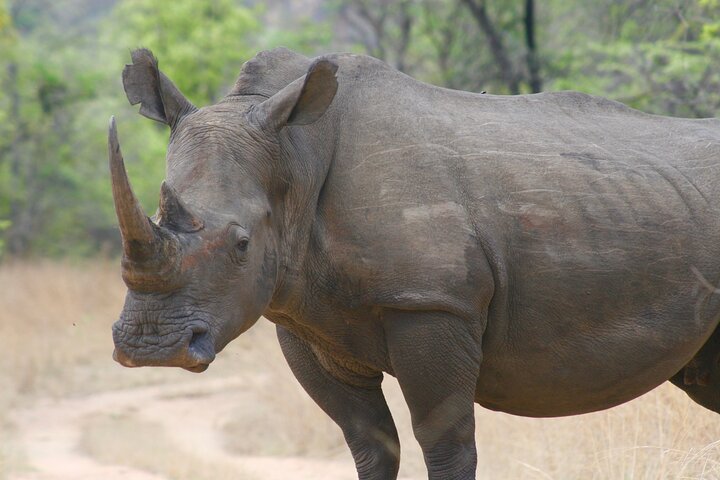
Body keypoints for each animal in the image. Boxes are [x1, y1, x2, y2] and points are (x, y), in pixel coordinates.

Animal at [109, 47, 720, 479]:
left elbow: (444, 441)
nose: (150, 347)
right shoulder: (303, 319)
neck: (298, 156)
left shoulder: (432, 302)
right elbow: (369, 442)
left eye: (241, 244)